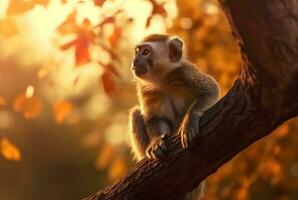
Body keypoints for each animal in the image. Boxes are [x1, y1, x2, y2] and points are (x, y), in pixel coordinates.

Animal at [128, 33, 219, 199]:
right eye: (137, 52)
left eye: (145, 52)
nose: (135, 60)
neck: (162, 80)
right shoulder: (145, 90)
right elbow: (155, 118)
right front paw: (156, 141)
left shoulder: (184, 73)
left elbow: (210, 90)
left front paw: (189, 120)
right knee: (136, 113)